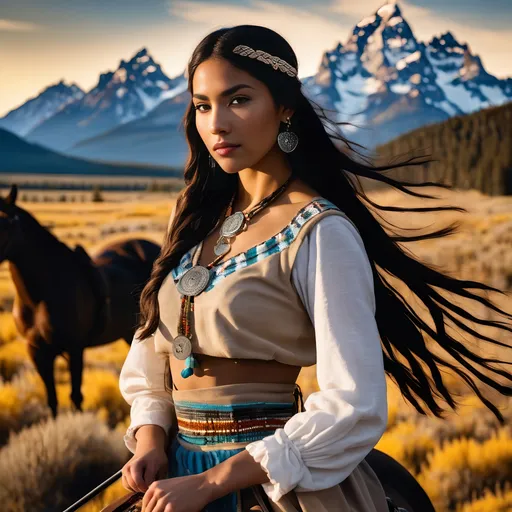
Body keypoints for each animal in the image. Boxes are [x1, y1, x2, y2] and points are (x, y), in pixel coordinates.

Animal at [0, 186, 160, 418]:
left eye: (5, 224)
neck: (41, 296)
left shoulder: (74, 349)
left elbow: (76, 397)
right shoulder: (37, 352)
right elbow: (52, 400)